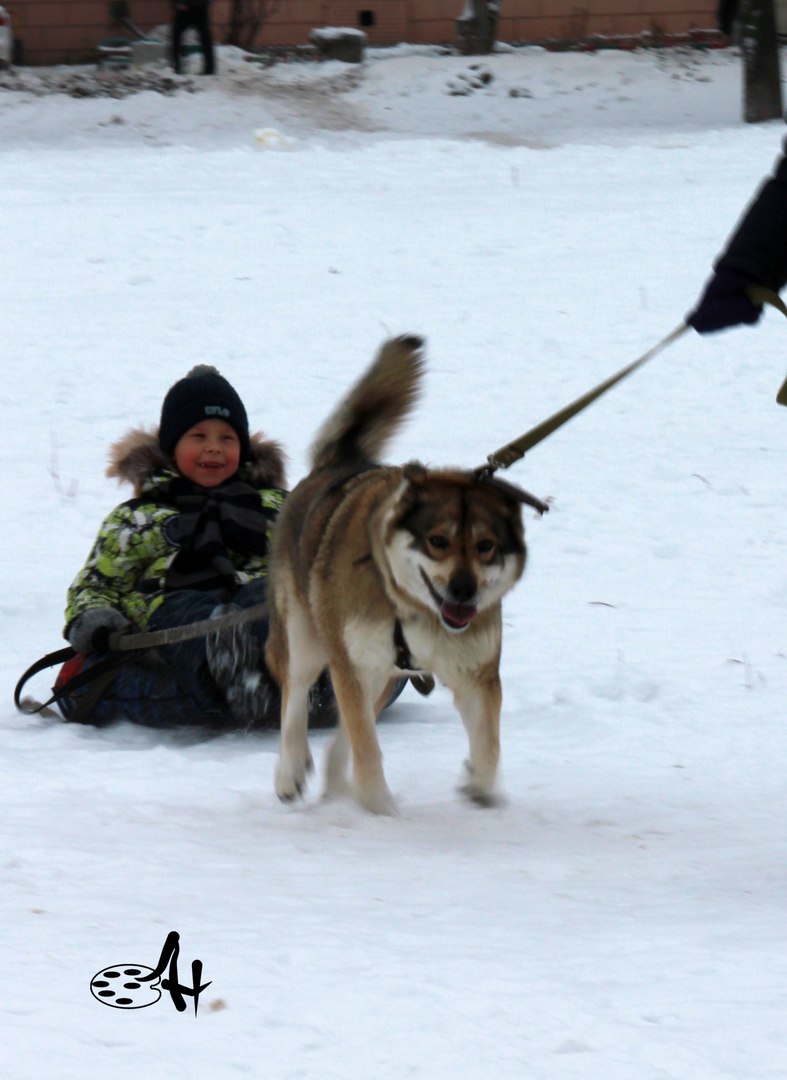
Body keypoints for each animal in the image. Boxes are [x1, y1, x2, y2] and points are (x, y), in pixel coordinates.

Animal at [264, 332, 546, 812]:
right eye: (438, 541)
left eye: (486, 546)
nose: (464, 590)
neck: (413, 607)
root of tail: (339, 464)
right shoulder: (349, 664)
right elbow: (365, 744)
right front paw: (380, 809)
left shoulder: (475, 674)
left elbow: (488, 743)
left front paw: (480, 787)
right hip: (308, 637)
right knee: (296, 697)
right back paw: (291, 772)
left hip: (382, 671)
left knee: (348, 728)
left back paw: (336, 780)